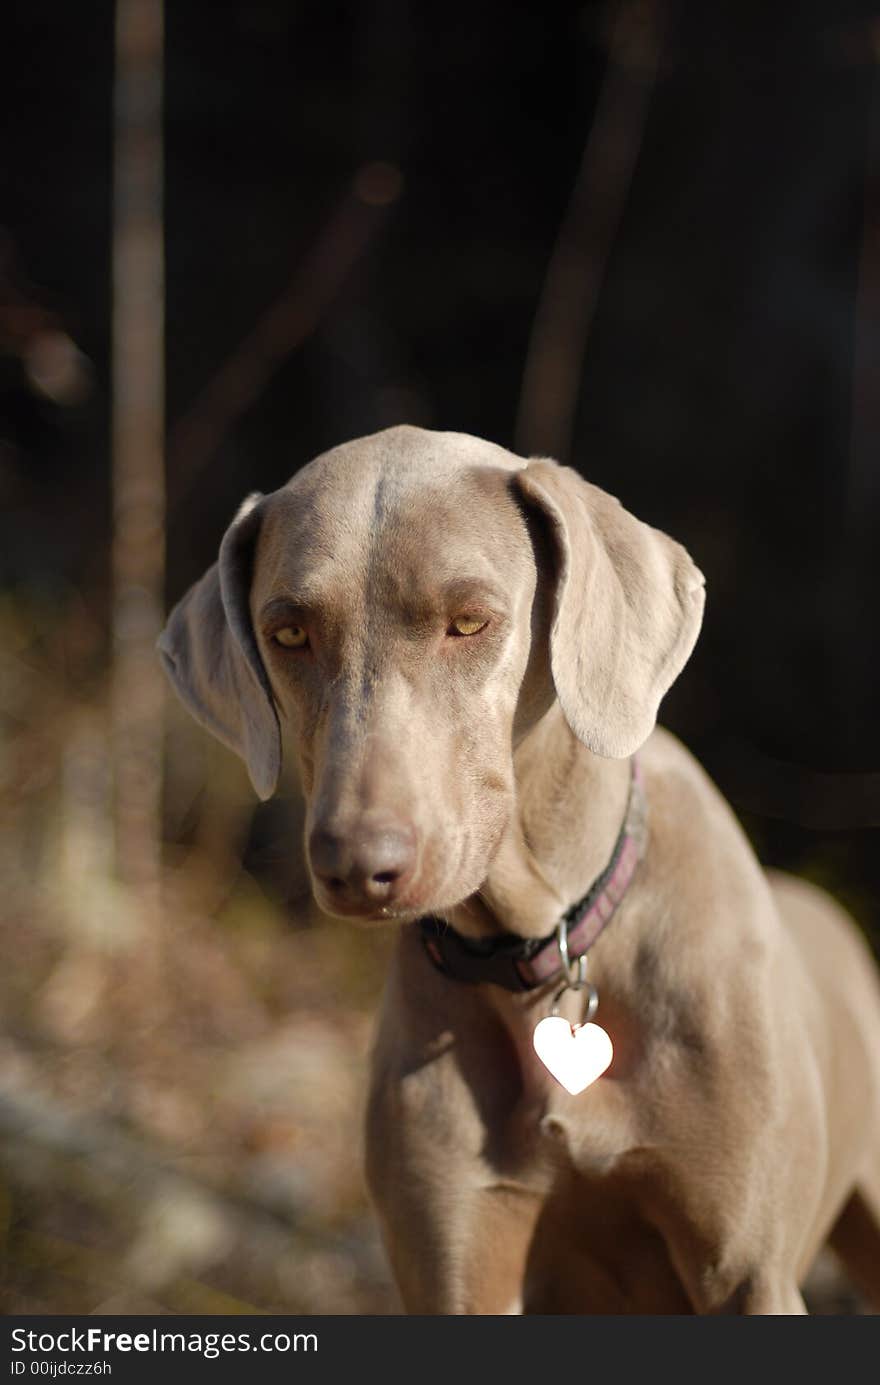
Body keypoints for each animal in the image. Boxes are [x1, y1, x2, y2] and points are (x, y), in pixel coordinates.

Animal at [160, 426, 880, 1312]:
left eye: (470, 621)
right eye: (288, 632)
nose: (357, 865)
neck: (543, 947)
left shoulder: (749, 1273)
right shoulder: (457, 1260)